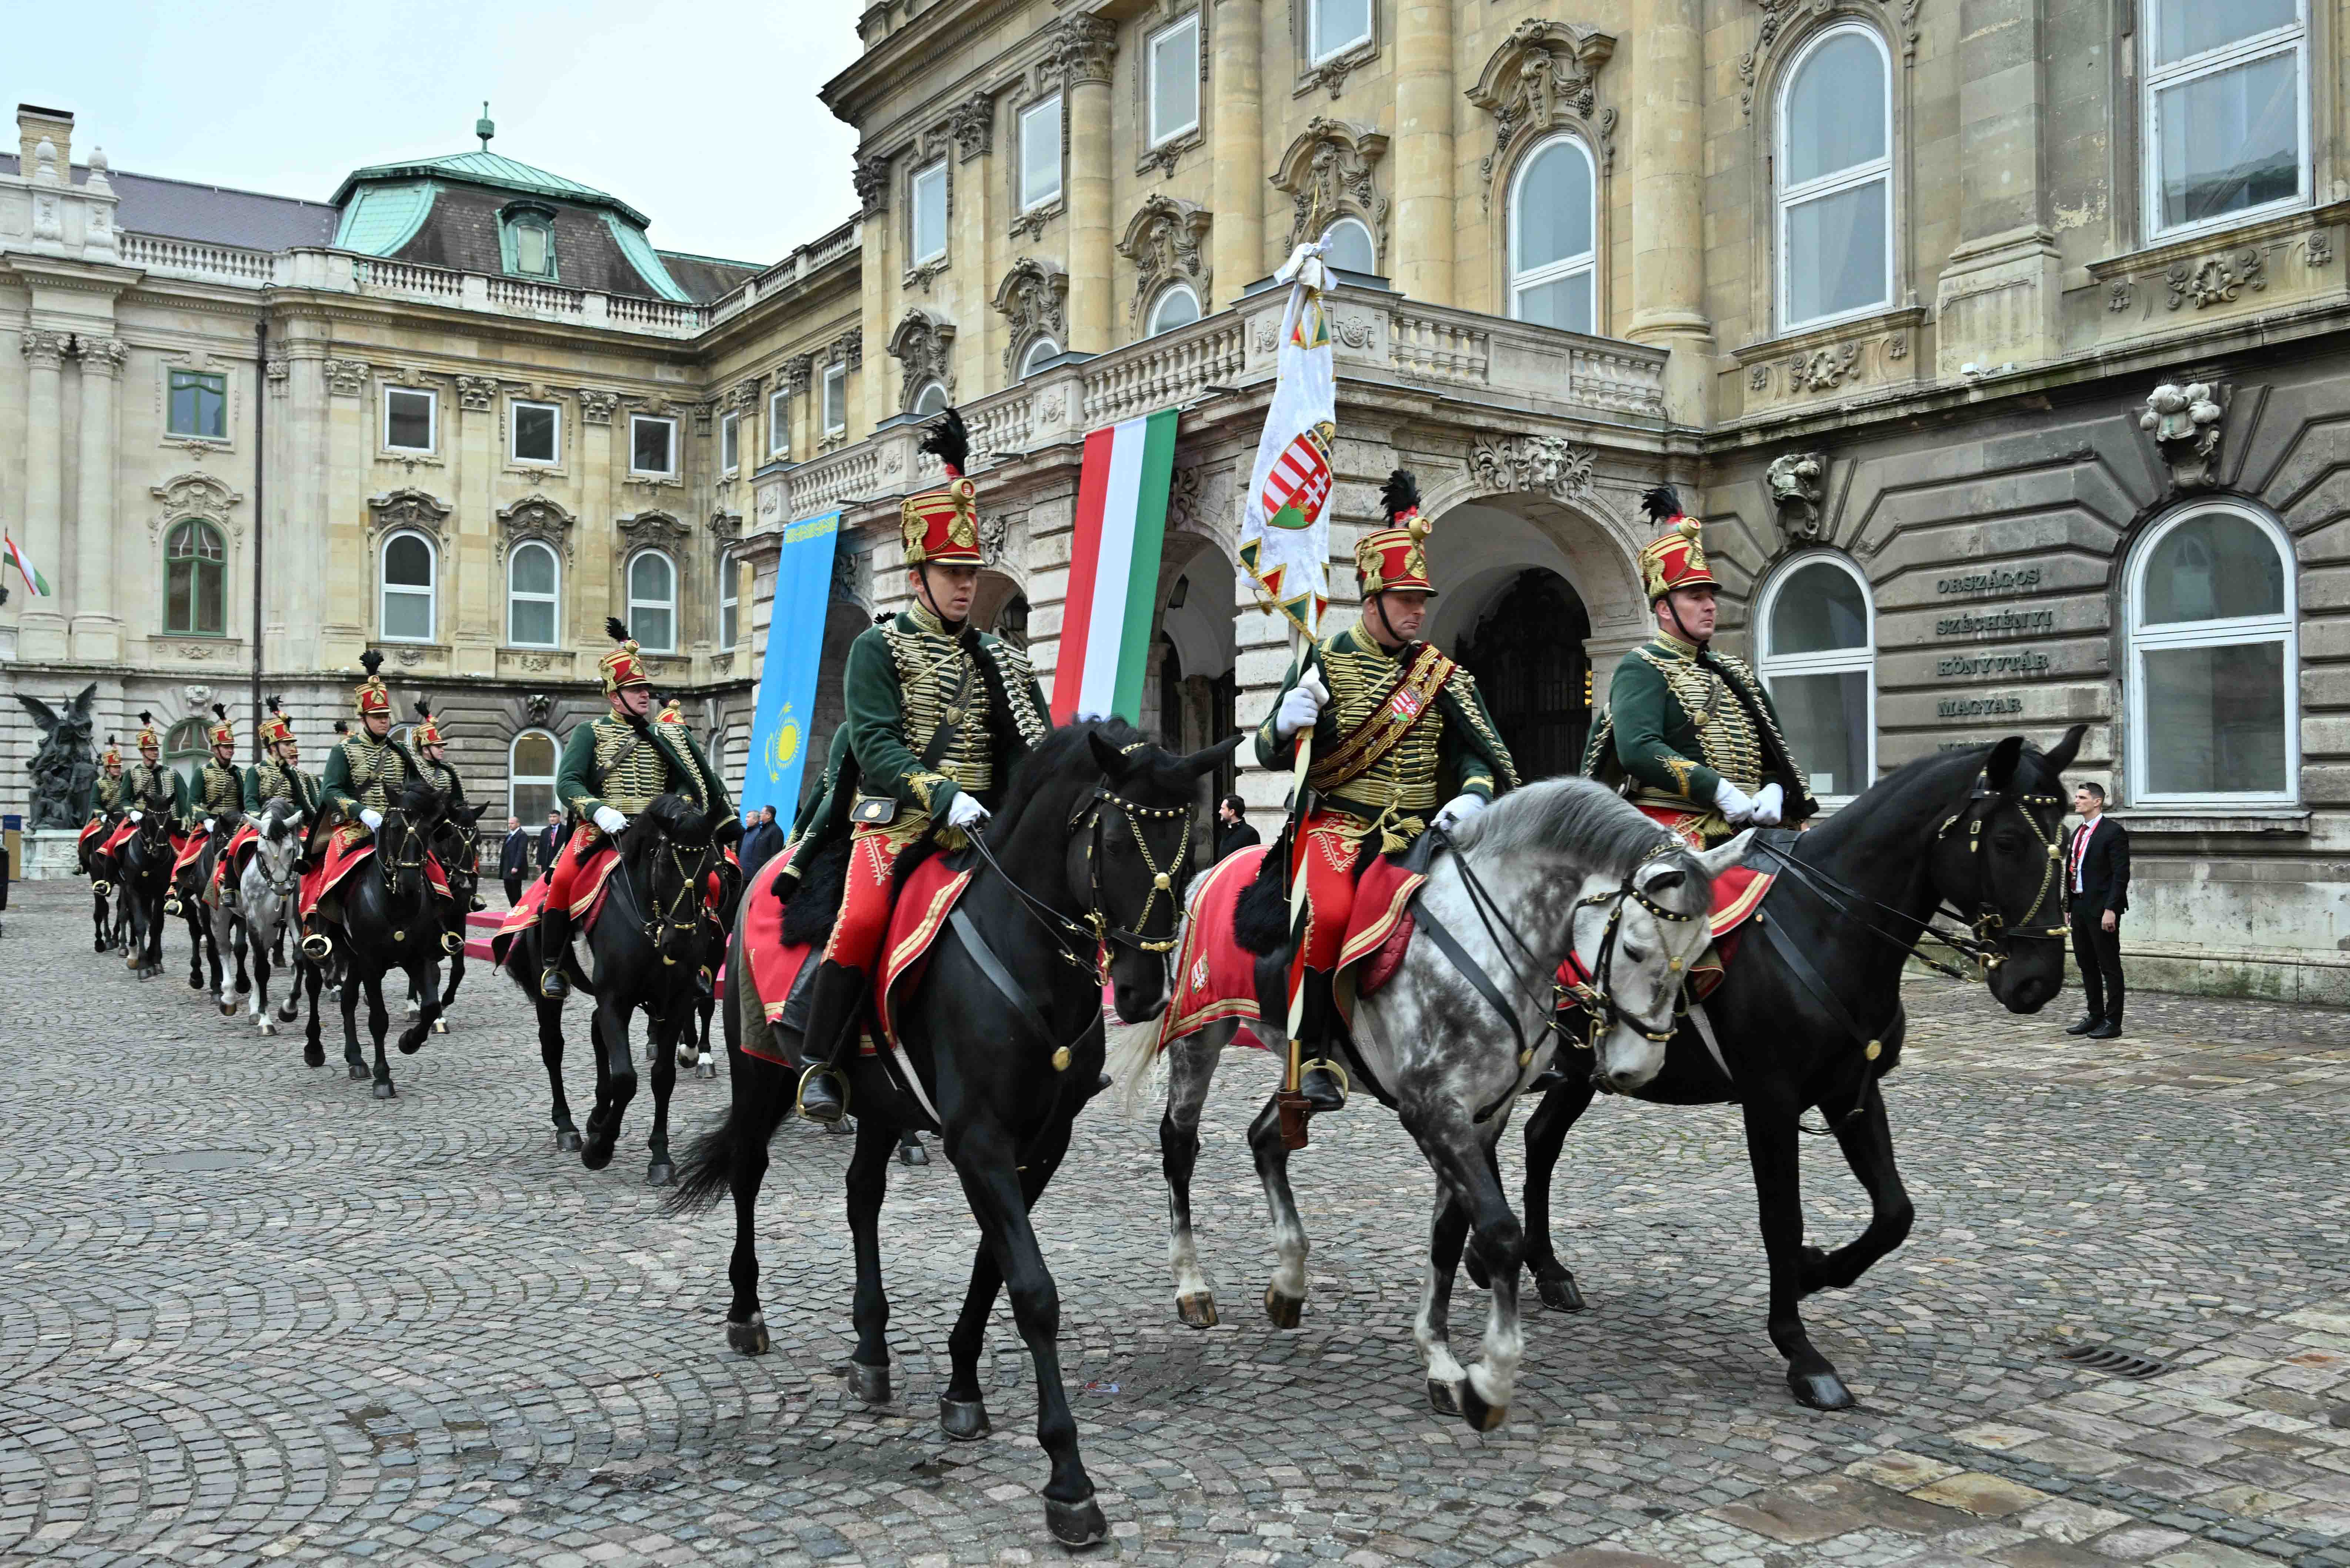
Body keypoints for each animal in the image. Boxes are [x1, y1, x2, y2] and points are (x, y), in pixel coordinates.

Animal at [322, 781, 454, 1098]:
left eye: (429, 830)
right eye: (394, 827)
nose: (409, 884)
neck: (396, 904)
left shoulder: (418, 958)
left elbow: (431, 1007)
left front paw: (409, 1041)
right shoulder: (372, 963)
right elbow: (379, 1019)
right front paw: (383, 1078)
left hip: (355, 958)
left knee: (348, 1000)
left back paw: (356, 1059)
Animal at [498, 793, 737, 1180]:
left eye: (710, 870)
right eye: (664, 863)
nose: (678, 944)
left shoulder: (674, 1002)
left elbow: (663, 1076)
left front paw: (660, 1156)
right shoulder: (615, 999)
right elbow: (625, 1077)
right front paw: (600, 1149)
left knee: (597, 1034)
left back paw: (597, 1114)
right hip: (550, 989)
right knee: (553, 1047)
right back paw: (568, 1127)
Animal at [669, 721, 1238, 1547]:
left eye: (1188, 846)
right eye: (1114, 842)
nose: (1138, 992)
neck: (1030, 961)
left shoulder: (1039, 1145)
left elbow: (993, 1268)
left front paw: (963, 1384)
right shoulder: (978, 1141)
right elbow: (1033, 1290)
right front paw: (1068, 1480)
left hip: (879, 1104)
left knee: (861, 1197)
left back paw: (871, 1346)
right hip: (760, 1073)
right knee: (747, 1171)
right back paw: (746, 1313)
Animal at [1109, 777, 1743, 1431]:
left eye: (1703, 950)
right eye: (1637, 949)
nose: (1636, 1068)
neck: (1489, 943)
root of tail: (1208, 872)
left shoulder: (1484, 1116)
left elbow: (1449, 1233)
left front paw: (1441, 1361)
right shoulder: (1432, 1110)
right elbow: (1500, 1230)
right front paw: (1490, 1380)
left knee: (1266, 1140)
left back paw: (1289, 1281)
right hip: (1200, 1033)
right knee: (1180, 1145)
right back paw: (1192, 1286)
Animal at [1500, 728, 2084, 1411]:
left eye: (2065, 832)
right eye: (2007, 840)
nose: (2037, 981)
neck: (1828, 926)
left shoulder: (1851, 1090)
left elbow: (1894, 1212)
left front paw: (1816, 1270)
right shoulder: (1770, 1101)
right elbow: (1781, 1218)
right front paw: (1801, 1352)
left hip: (1577, 1073)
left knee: (1539, 1140)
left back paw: (1547, 1269)